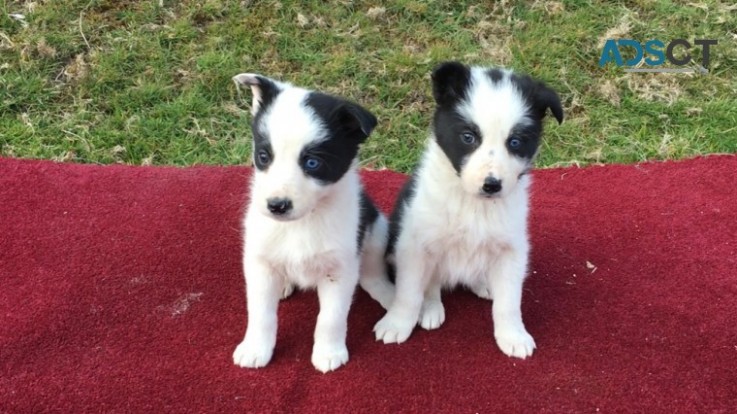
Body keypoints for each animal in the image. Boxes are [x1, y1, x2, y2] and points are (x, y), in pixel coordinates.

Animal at [231, 73, 394, 374]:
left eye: (312, 163)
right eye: (263, 156)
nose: (276, 205)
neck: (301, 223)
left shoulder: (339, 268)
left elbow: (331, 317)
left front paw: (329, 353)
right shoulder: (258, 263)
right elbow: (260, 314)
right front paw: (255, 349)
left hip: (376, 227)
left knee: (371, 272)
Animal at [374, 61, 564, 360]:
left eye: (515, 142)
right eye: (468, 137)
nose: (492, 185)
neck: (474, 204)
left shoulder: (512, 249)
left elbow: (509, 301)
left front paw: (513, 335)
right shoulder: (414, 245)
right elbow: (409, 292)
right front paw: (397, 323)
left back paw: (484, 284)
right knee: (431, 282)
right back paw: (430, 307)